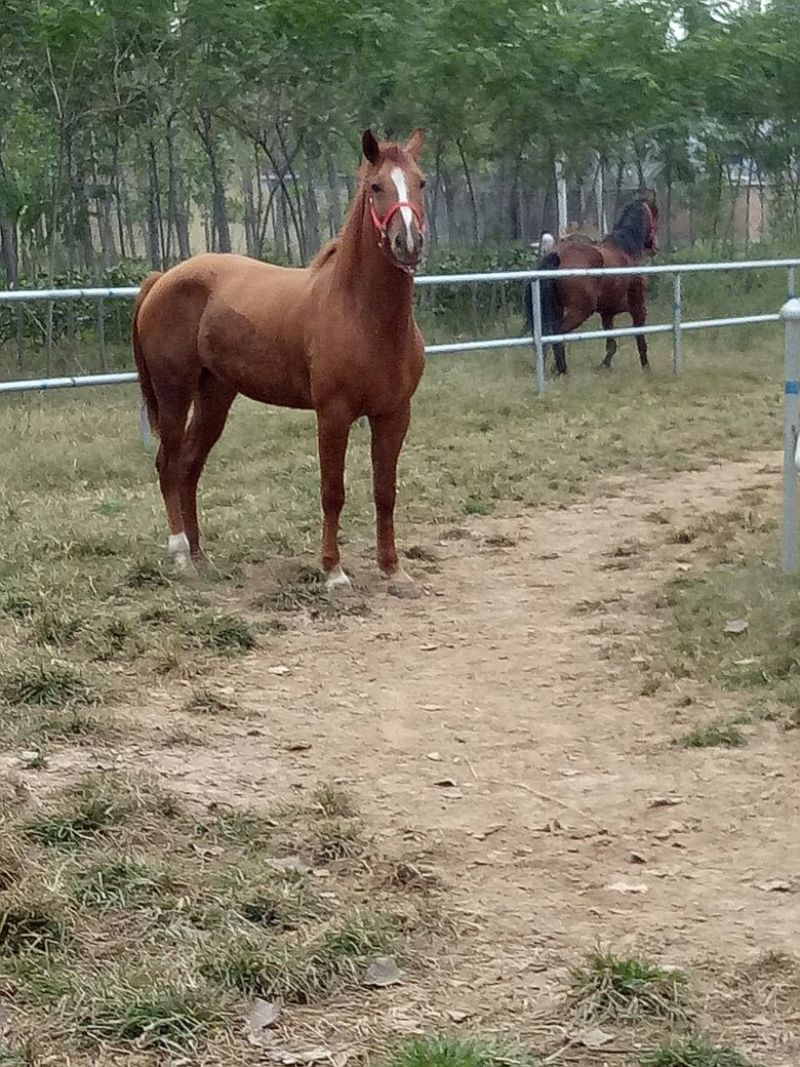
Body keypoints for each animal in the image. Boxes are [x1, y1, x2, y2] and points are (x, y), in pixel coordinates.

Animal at [132, 127, 427, 592]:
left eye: (422, 182)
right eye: (376, 187)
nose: (409, 243)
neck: (362, 313)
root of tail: (163, 279)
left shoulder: (394, 414)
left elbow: (385, 491)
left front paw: (393, 568)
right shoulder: (333, 415)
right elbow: (332, 491)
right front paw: (333, 571)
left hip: (215, 396)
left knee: (190, 468)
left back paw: (200, 556)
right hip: (174, 392)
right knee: (169, 465)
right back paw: (180, 555)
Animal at [524, 192, 659, 376]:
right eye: (655, 216)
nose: (655, 246)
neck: (625, 248)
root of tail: (557, 256)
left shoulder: (607, 313)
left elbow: (611, 344)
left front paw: (604, 366)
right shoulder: (638, 308)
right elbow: (640, 339)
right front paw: (646, 368)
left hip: (558, 309)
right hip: (580, 311)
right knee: (557, 333)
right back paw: (562, 370)